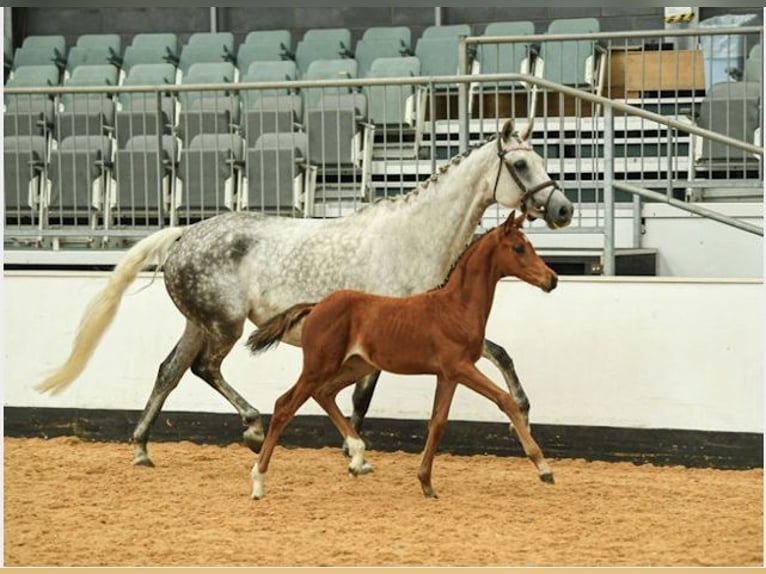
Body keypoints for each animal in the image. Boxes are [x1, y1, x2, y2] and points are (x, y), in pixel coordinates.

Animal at [35, 118, 573, 470]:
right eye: (521, 163)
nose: (564, 209)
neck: (413, 236)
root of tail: (183, 235)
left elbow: (498, 352)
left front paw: (523, 408)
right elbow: (359, 398)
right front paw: (352, 453)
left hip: (199, 322)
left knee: (169, 371)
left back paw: (143, 449)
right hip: (225, 325)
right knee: (204, 369)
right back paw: (253, 429)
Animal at [246, 211, 557, 499]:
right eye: (519, 248)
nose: (552, 279)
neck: (456, 307)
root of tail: (316, 305)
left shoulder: (447, 375)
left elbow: (438, 423)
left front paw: (426, 483)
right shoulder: (461, 367)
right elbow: (505, 400)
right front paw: (544, 468)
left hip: (354, 366)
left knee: (324, 393)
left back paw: (358, 457)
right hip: (319, 365)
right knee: (284, 406)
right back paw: (259, 483)